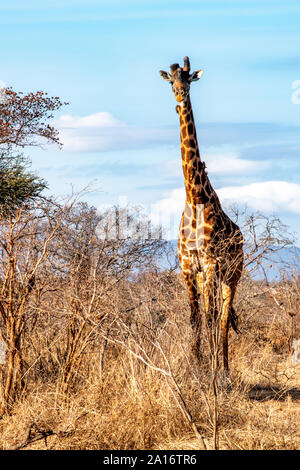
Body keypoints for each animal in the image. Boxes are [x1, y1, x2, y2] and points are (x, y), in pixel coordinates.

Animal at [159, 57, 244, 372]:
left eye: (189, 80)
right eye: (171, 81)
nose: (179, 95)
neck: (195, 196)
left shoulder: (209, 263)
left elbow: (209, 319)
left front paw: (210, 371)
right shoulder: (188, 266)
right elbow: (195, 318)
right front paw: (195, 367)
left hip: (232, 274)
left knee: (222, 318)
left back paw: (225, 370)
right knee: (216, 314)